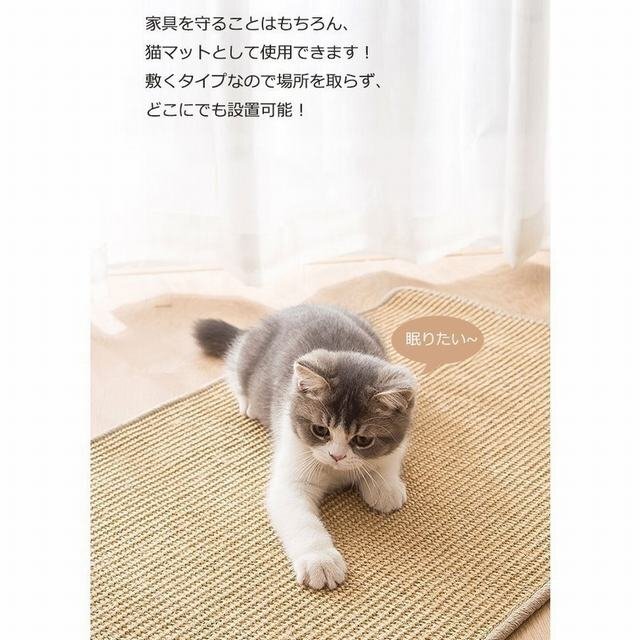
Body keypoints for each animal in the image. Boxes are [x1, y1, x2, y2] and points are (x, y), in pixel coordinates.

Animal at [194, 304, 417, 590]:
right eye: (320, 430)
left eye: (363, 440)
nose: (337, 455)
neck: (336, 473)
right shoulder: (291, 475)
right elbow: (301, 520)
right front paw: (320, 561)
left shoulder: (400, 437)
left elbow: (390, 458)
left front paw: (384, 486)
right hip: (247, 357)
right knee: (236, 369)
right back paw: (248, 403)